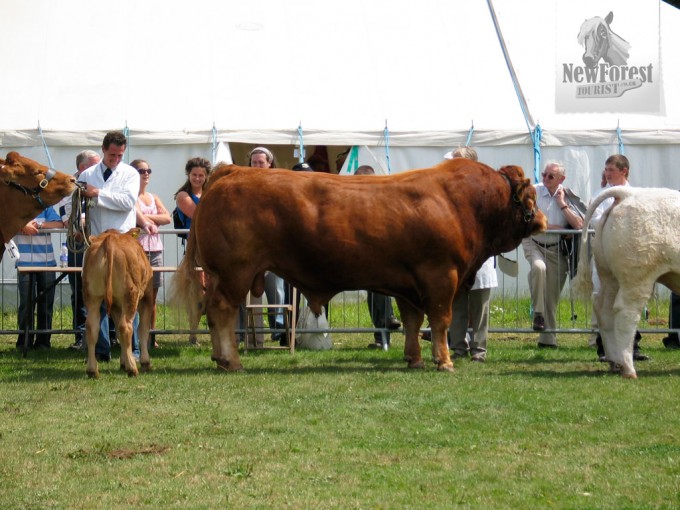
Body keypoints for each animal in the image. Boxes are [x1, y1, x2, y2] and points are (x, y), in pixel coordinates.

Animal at [82, 229, 153, 376]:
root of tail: (109, 239)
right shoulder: (147, 297)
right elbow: (143, 329)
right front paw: (145, 362)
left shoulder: (115, 305)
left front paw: (123, 362)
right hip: (131, 295)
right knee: (126, 327)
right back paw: (132, 369)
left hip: (92, 295)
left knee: (92, 327)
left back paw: (92, 370)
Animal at [171, 158, 548, 370]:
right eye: (530, 196)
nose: (543, 219)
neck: (463, 202)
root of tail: (232, 172)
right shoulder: (442, 276)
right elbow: (440, 321)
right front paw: (444, 360)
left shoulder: (409, 284)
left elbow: (412, 323)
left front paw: (413, 359)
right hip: (234, 272)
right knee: (220, 311)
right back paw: (230, 360)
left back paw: (221, 358)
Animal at [572, 187, 680, 378]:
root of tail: (626, 193)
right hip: (637, 275)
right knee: (626, 314)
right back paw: (628, 369)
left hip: (609, 275)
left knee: (604, 309)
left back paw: (615, 362)